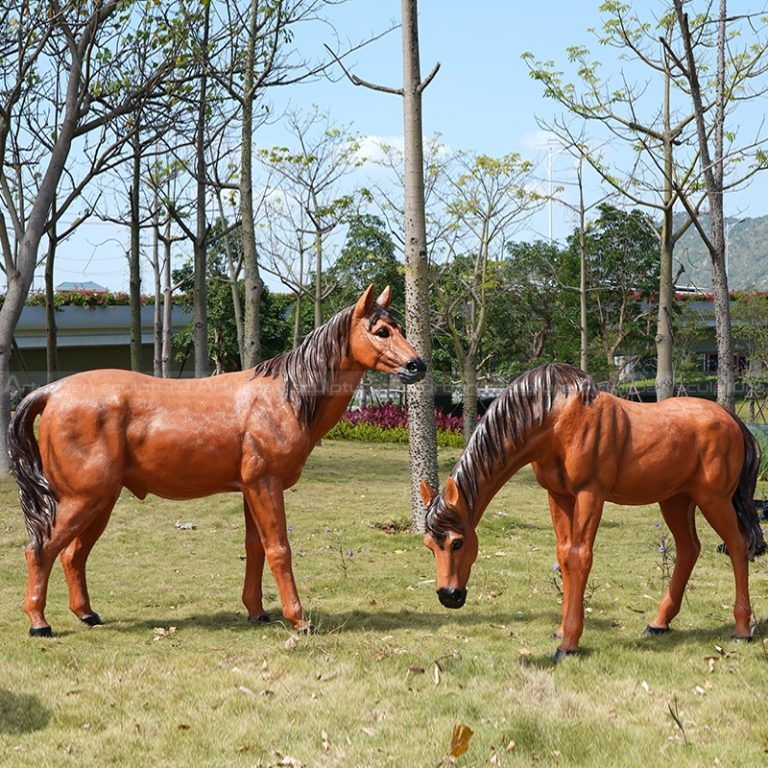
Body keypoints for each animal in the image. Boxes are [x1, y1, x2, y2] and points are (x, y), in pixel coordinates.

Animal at [9, 285, 426, 638]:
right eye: (381, 331)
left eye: (398, 326)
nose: (417, 365)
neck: (285, 397)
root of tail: (53, 391)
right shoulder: (265, 483)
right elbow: (279, 548)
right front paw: (299, 619)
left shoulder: (250, 488)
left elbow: (255, 547)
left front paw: (257, 611)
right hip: (85, 498)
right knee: (41, 548)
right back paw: (39, 623)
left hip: (101, 500)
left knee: (72, 554)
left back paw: (87, 614)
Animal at [420, 363, 766, 662]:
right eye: (429, 546)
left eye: (458, 542)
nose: (448, 595)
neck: (555, 417)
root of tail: (732, 420)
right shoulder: (558, 496)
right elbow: (563, 555)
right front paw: (561, 631)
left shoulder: (590, 494)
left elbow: (579, 556)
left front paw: (569, 645)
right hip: (676, 500)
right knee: (689, 549)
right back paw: (658, 623)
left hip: (713, 499)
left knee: (737, 545)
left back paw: (741, 629)